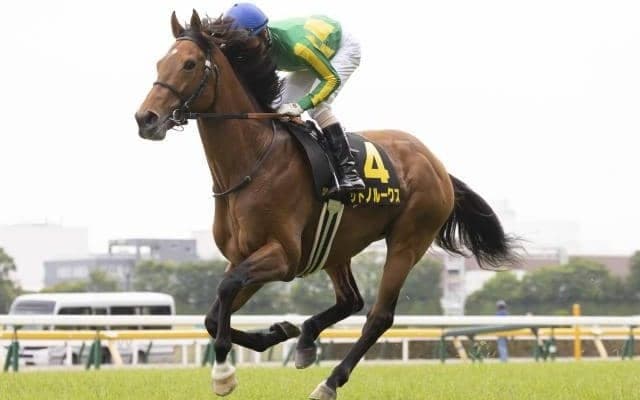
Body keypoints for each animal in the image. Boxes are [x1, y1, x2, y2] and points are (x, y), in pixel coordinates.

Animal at [135, 10, 518, 400]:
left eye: (189, 64)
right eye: (160, 63)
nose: (145, 118)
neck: (252, 162)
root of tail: (436, 165)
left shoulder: (282, 257)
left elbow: (226, 289)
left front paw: (224, 372)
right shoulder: (244, 255)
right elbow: (213, 315)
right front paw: (277, 333)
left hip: (408, 241)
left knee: (378, 315)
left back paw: (330, 381)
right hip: (336, 244)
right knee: (351, 301)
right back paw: (305, 339)